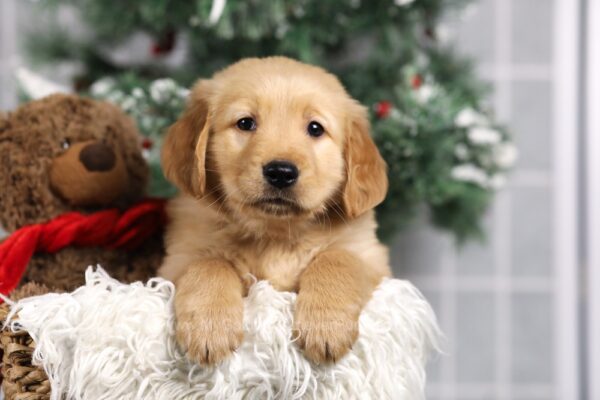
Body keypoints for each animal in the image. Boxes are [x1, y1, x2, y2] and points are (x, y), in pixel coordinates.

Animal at [159, 56, 392, 366]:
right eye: (245, 123)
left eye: (315, 128)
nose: (281, 172)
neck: (275, 235)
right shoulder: (176, 260)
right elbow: (208, 263)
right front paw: (210, 327)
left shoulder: (370, 255)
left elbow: (337, 258)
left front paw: (327, 325)